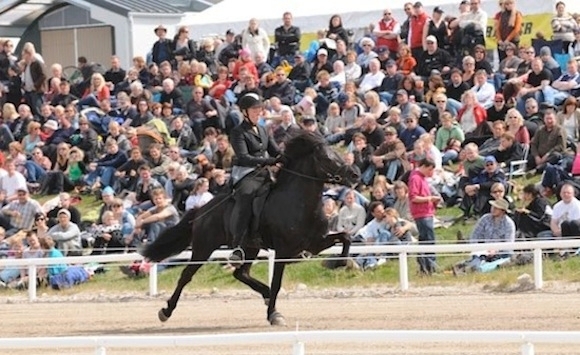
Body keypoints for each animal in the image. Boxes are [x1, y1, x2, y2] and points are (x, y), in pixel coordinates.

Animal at [142, 132, 358, 326]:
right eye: (327, 158)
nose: (355, 174)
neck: (300, 203)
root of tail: (201, 210)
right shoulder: (283, 251)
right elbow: (277, 282)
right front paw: (273, 315)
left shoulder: (314, 244)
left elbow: (346, 237)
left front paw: (338, 263)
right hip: (204, 247)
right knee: (187, 275)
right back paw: (166, 311)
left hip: (250, 247)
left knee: (241, 274)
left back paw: (265, 294)